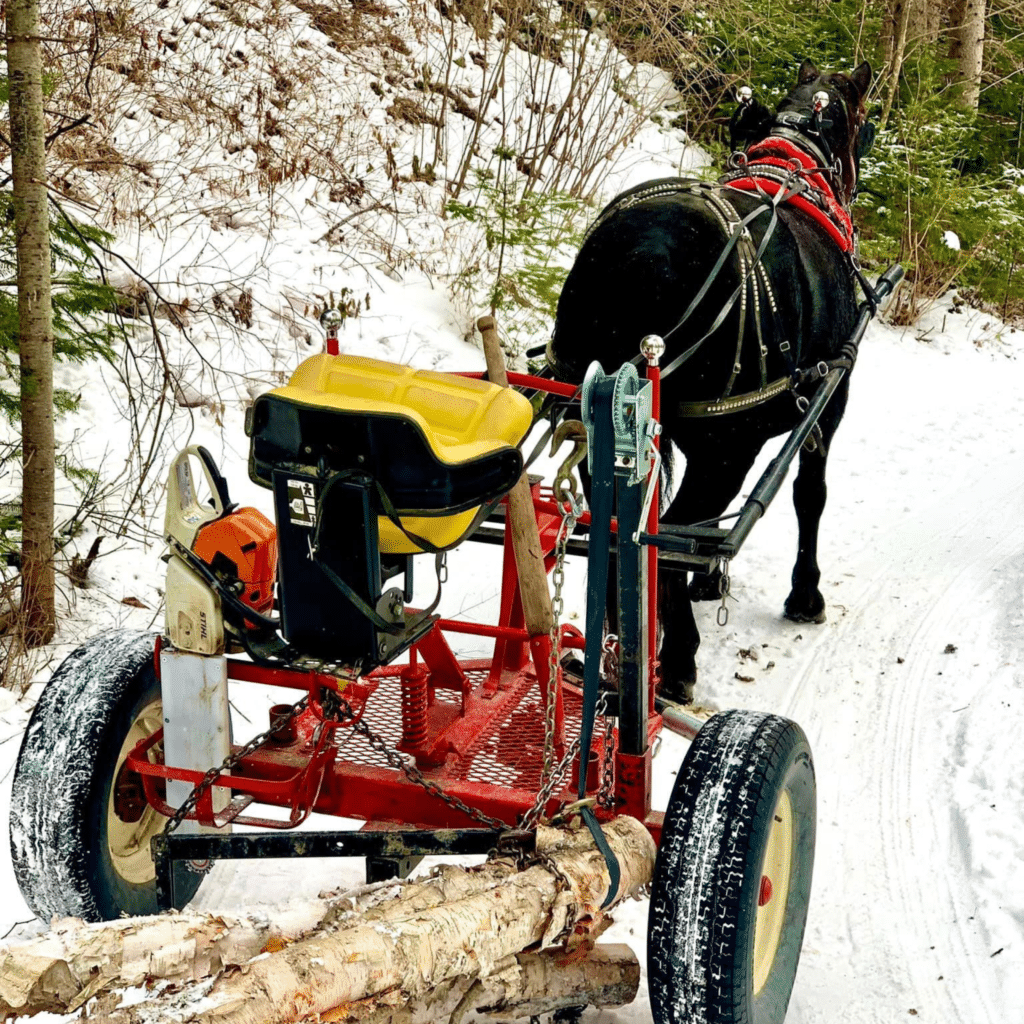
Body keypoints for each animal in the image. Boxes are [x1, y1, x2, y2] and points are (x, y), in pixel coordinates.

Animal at [552, 59, 872, 700]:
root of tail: (640, 252)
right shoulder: (830, 400)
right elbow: (810, 495)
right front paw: (805, 596)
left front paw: (710, 585)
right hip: (725, 446)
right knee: (671, 537)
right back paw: (676, 660)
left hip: (598, 423)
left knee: (625, 531)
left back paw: (616, 649)